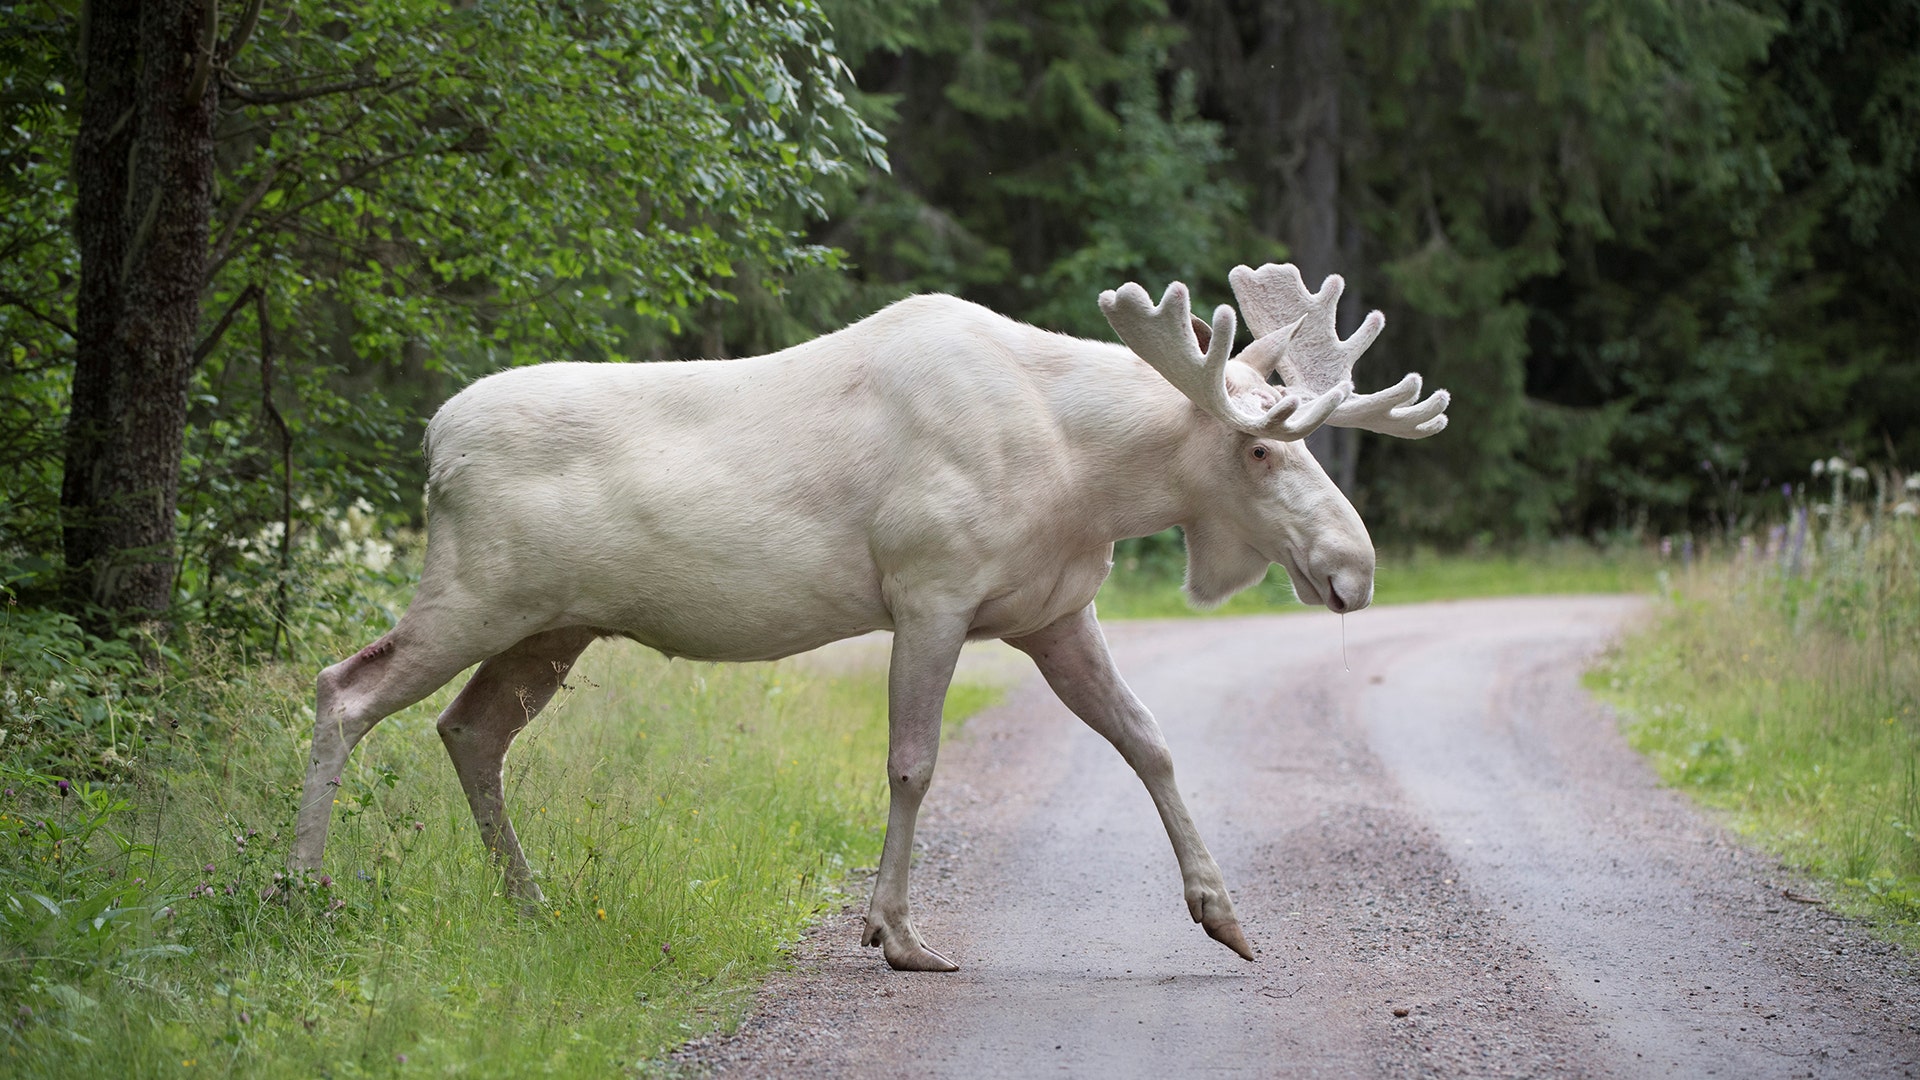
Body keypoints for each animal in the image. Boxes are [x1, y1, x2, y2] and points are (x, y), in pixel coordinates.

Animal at [289, 262, 1448, 972]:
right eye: (1258, 448)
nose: (1354, 569)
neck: (1085, 475)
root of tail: (433, 442)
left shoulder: (1054, 612)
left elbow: (1151, 742)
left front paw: (1225, 915)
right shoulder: (930, 590)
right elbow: (913, 762)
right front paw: (895, 933)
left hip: (551, 627)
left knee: (468, 729)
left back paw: (528, 903)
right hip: (477, 593)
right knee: (343, 689)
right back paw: (301, 889)